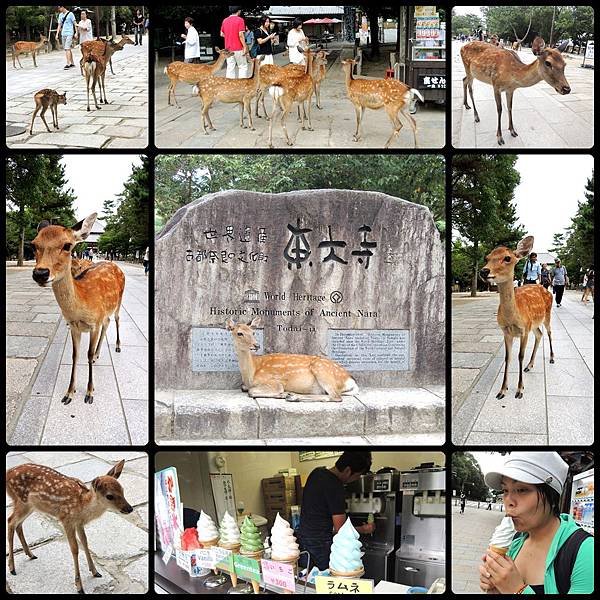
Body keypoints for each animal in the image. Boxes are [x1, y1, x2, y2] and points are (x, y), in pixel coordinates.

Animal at [6, 460, 132, 596]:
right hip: (22, 501)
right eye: (109, 496)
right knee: (11, 521)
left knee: (18, 524)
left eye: (122, 490)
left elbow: (85, 542)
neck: (83, 506)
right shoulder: (66, 519)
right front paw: (79, 586)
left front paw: (95, 572)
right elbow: (74, 549)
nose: (130, 508)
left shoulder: (79, 523)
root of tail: (8, 473)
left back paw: (30, 554)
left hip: (30, 506)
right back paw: (12, 568)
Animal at [31, 213, 125, 406]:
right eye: (33, 244)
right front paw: (69, 393)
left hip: (119, 300)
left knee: (117, 319)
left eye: (67, 245)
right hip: (105, 313)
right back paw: (98, 355)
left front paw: (89, 393)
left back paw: (117, 346)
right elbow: (75, 355)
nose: (40, 273)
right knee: (107, 322)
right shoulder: (74, 326)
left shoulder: (94, 324)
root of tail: (116, 266)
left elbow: (87, 354)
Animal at [227, 318, 358, 404]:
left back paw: (292, 396)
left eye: (253, 332)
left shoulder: (273, 382)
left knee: (336, 397)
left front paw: (283, 393)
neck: (251, 373)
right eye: (239, 333)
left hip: (322, 370)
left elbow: (251, 391)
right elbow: (244, 387)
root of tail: (350, 380)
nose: (256, 345)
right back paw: (293, 395)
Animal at [480, 234, 556, 398]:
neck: (512, 318)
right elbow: (507, 357)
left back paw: (552, 358)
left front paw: (520, 390)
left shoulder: (524, 330)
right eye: (487, 257)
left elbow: (520, 356)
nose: (484, 271)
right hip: (534, 324)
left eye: (507, 258)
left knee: (548, 332)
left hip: (547, 314)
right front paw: (502, 390)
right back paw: (529, 365)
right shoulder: (506, 332)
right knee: (539, 334)